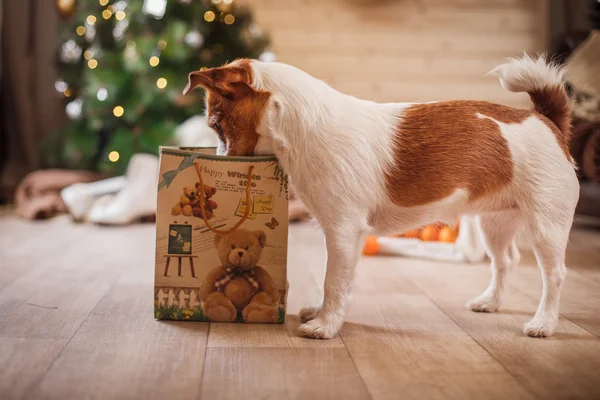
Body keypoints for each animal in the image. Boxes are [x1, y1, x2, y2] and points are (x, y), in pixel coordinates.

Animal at [182, 54, 576, 340]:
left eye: (217, 126)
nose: (216, 160)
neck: (302, 128)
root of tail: (546, 121)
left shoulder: (342, 231)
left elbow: (333, 281)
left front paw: (325, 327)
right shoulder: (346, 237)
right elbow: (338, 283)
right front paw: (323, 313)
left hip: (546, 225)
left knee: (555, 275)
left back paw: (543, 323)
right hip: (496, 222)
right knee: (505, 261)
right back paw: (490, 303)